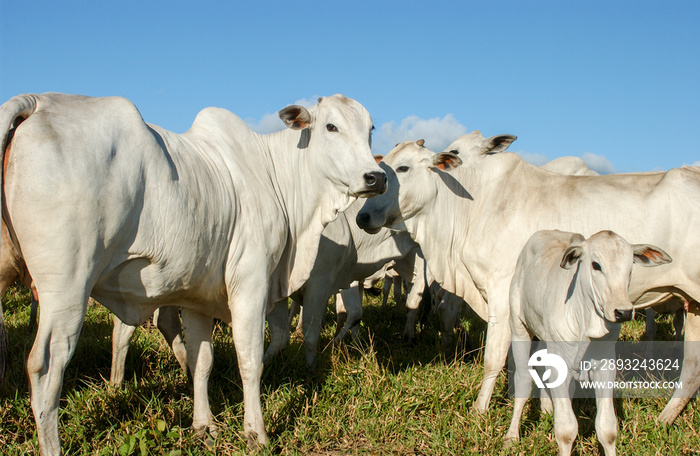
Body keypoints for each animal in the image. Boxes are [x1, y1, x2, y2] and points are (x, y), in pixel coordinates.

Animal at [0, 92, 388, 452]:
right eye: (331, 126)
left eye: (370, 129)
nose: (376, 177)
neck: (277, 178)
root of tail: (37, 102)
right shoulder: (251, 284)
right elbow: (250, 360)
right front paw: (256, 433)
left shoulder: (196, 298)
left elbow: (202, 361)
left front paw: (204, 426)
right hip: (68, 289)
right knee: (45, 367)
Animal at [356, 141, 700, 418]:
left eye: (403, 167)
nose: (362, 216)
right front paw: (546, 409)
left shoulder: (502, 295)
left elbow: (495, 358)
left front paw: (479, 410)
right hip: (693, 306)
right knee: (692, 368)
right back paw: (664, 419)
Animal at [506, 230, 668, 454]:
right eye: (596, 265)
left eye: (630, 266)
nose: (623, 312)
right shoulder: (559, 362)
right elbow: (566, 430)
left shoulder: (605, 365)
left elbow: (607, 429)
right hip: (519, 326)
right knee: (523, 381)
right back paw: (512, 436)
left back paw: (547, 411)